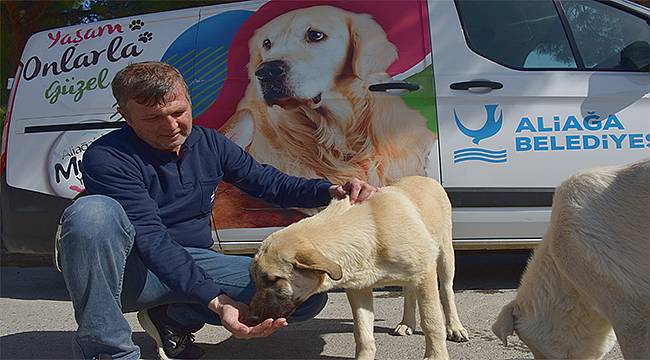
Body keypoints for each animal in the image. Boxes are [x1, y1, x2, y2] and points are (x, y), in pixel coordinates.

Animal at [248, 176, 466, 358]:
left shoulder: (425, 274)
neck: (372, 232)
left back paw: (455, 327)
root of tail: (426, 177)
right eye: (255, 281)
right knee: (409, 291)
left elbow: (432, 322)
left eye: (274, 280)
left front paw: (436, 355)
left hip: (444, 256)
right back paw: (406, 323)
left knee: (446, 292)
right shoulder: (359, 290)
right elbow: (363, 334)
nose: (251, 317)